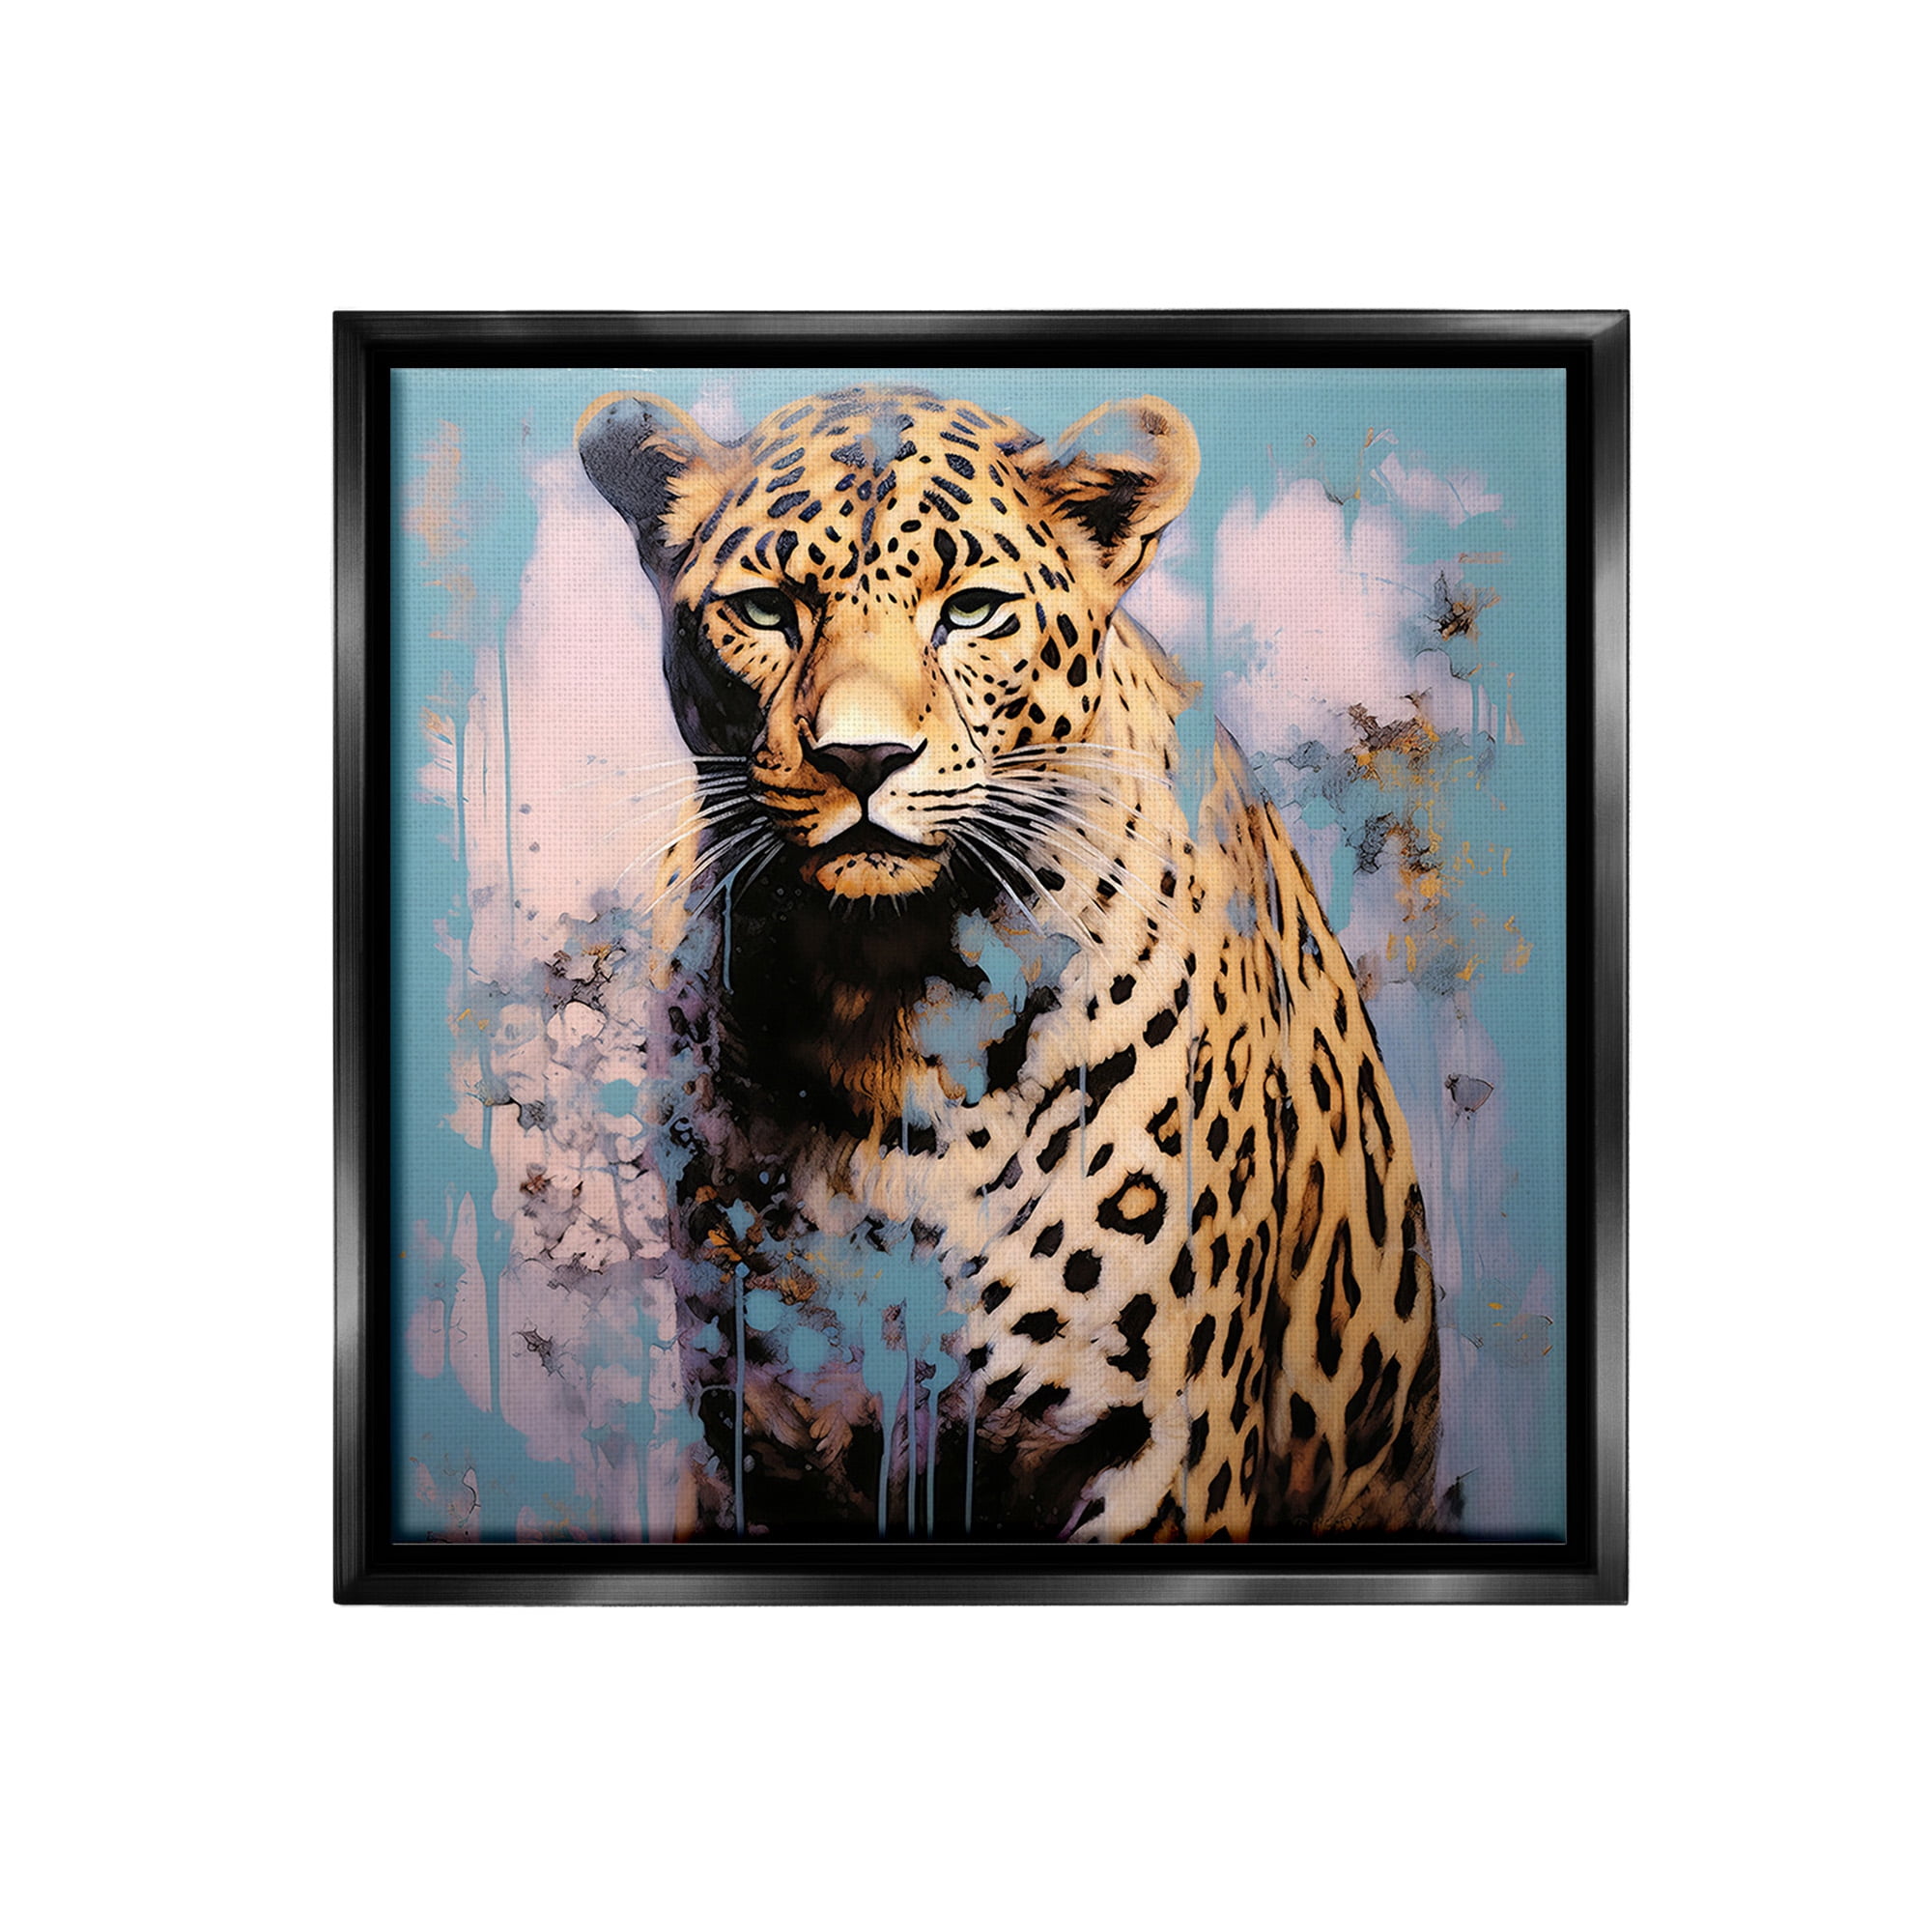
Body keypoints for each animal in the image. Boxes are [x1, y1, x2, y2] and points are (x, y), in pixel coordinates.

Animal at [575, 381, 1445, 1541]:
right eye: (765, 611)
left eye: (974, 609)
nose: (861, 758)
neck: (880, 1007)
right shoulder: (757, 1443)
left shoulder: (1150, 1449)